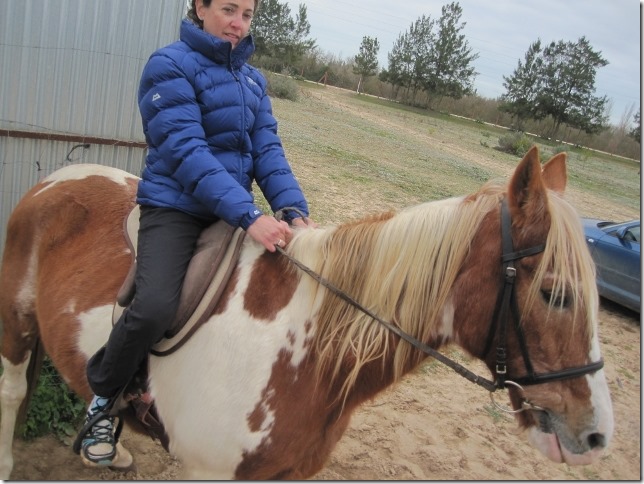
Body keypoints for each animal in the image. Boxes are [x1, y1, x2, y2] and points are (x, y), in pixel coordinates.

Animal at [1, 148, 612, 480]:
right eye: (556, 293)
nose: (596, 436)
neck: (302, 349)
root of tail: (56, 178)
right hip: (16, 327)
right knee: (13, 391)